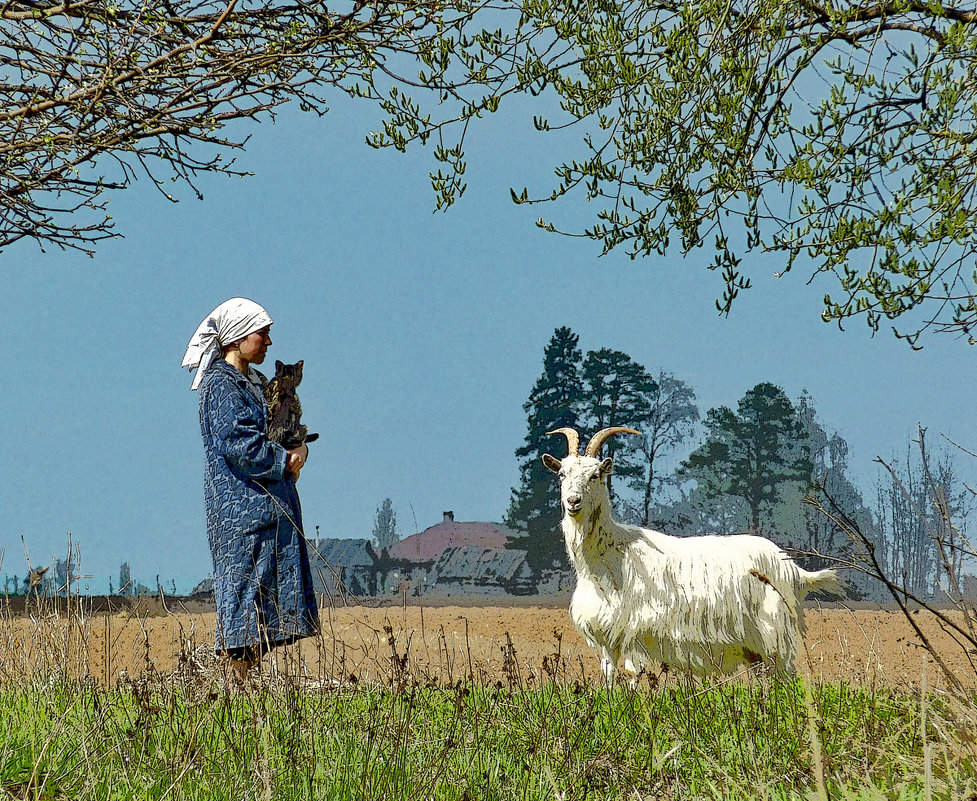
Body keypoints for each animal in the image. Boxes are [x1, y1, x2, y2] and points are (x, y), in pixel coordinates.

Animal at [540, 424, 840, 680]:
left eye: (596, 475)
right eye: (562, 474)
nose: (573, 501)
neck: (611, 555)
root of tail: (792, 568)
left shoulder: (636, 631)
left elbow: (633, 676)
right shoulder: (606, 637)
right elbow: (609, 677)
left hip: (774, 634)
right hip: (756, 648)